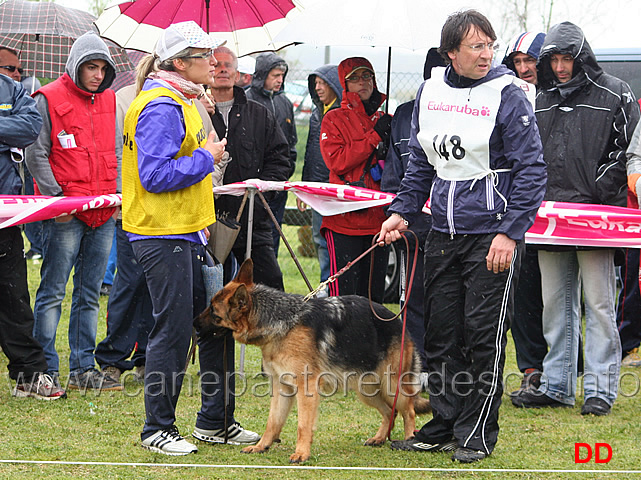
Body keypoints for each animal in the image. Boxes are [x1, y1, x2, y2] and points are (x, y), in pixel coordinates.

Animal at [199, 260, 430, 464]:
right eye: (209, 307)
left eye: (214, 313)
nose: (193, 323)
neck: (280, 322)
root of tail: (399, 322)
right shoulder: (282, 388)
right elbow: (273, 422)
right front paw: (261, 446)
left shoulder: (306, 389)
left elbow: (303, 425)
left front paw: (302, 453)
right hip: (367, 390)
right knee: (389, 412)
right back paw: (380, 438)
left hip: (392, 386)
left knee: (408, 411)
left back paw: (409, 440)